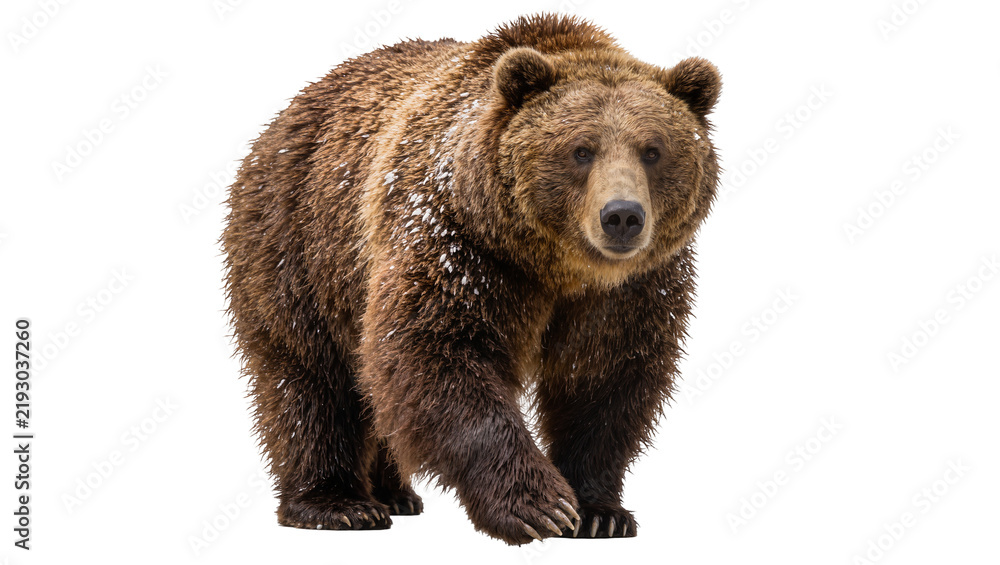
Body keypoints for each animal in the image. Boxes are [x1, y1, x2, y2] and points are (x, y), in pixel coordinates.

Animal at [222, 13, 720, 545]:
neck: (559, 266)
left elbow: (604, 378)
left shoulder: (632, 287)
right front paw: (539, 505)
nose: (622, 216)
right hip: (301, 245)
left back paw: (395, 494)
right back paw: (338, 504)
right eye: (581, 150)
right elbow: (440, 352)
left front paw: (599, 511)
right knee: (312, 378)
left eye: (653, 150)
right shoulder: (463, 242)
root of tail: (289, 110)